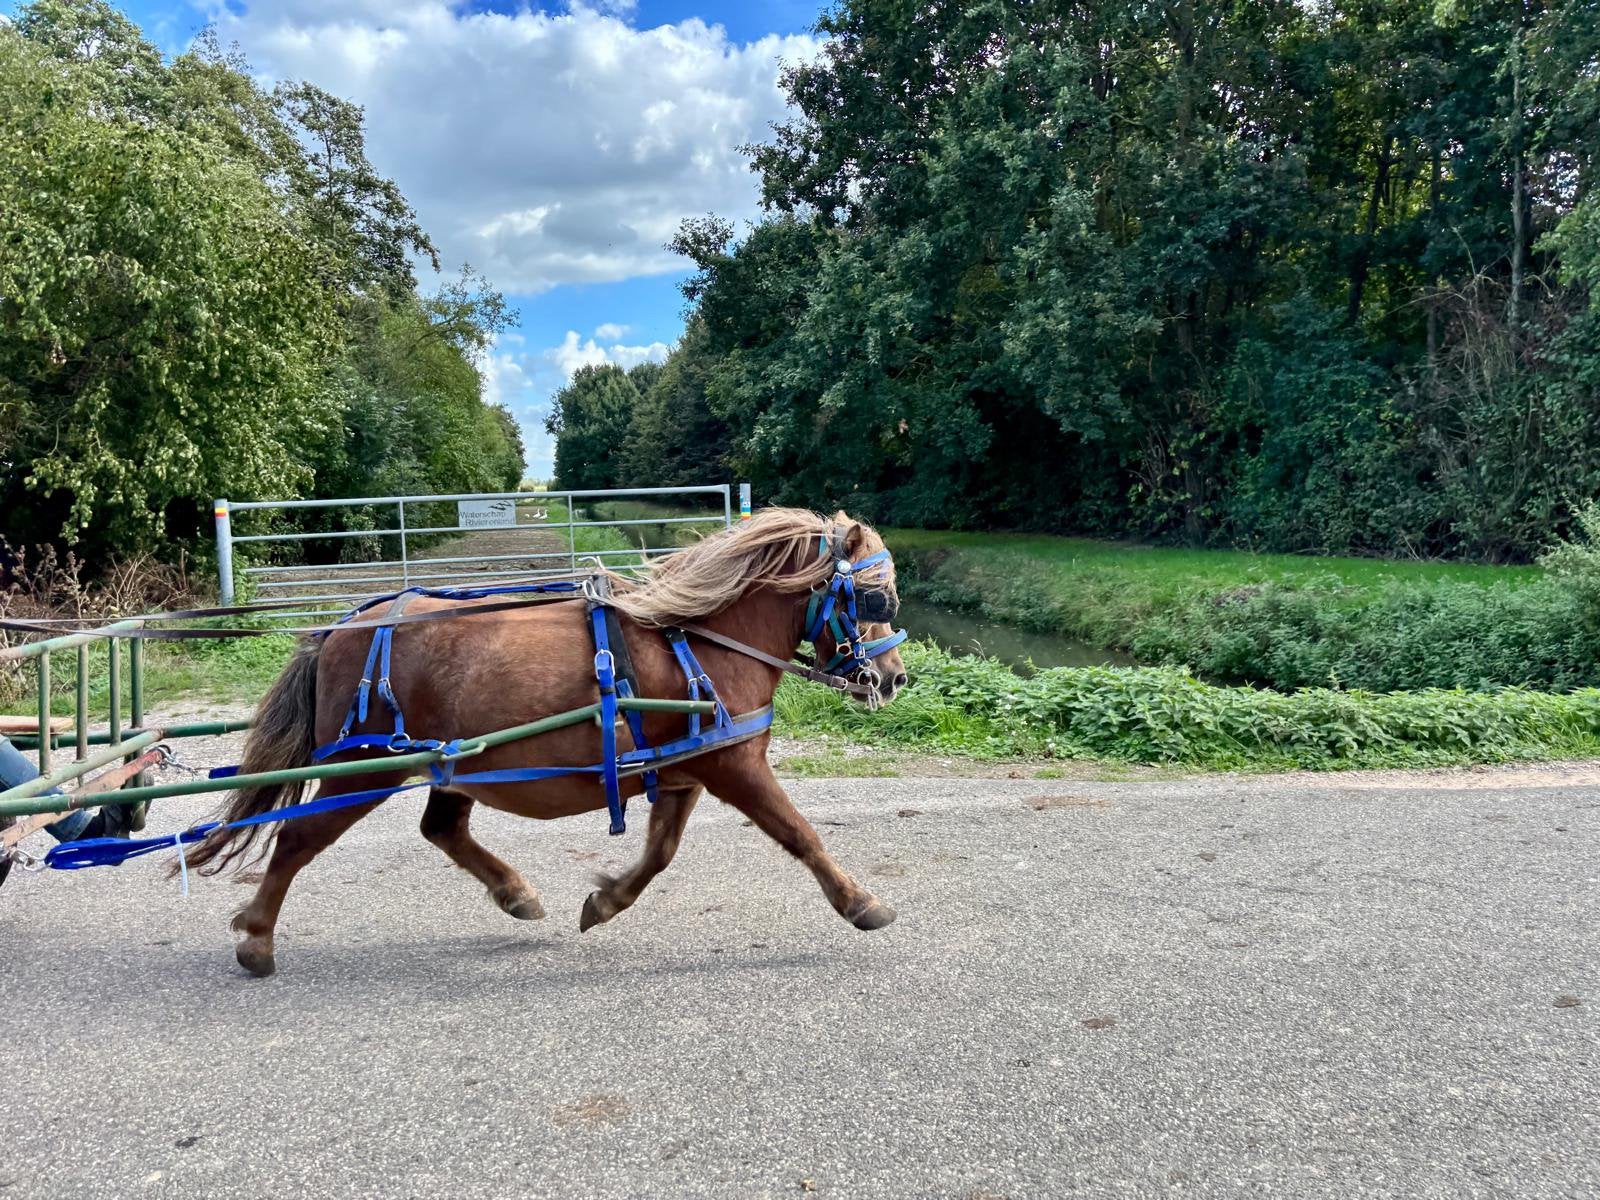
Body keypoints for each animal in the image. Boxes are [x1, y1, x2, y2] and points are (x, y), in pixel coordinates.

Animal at [184, 508, 910, 977]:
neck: (701, 639)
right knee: (297, 840)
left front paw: (605, 902)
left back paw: (515, 893)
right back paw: (256, 937)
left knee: (441, 829)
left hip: (451, 763)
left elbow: (660, 854)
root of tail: (341, 627)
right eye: (876, 599)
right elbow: (801, 834)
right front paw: (860, 903)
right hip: (364, 766)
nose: (897, 677)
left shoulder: (683, 771)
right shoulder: (735, 766)